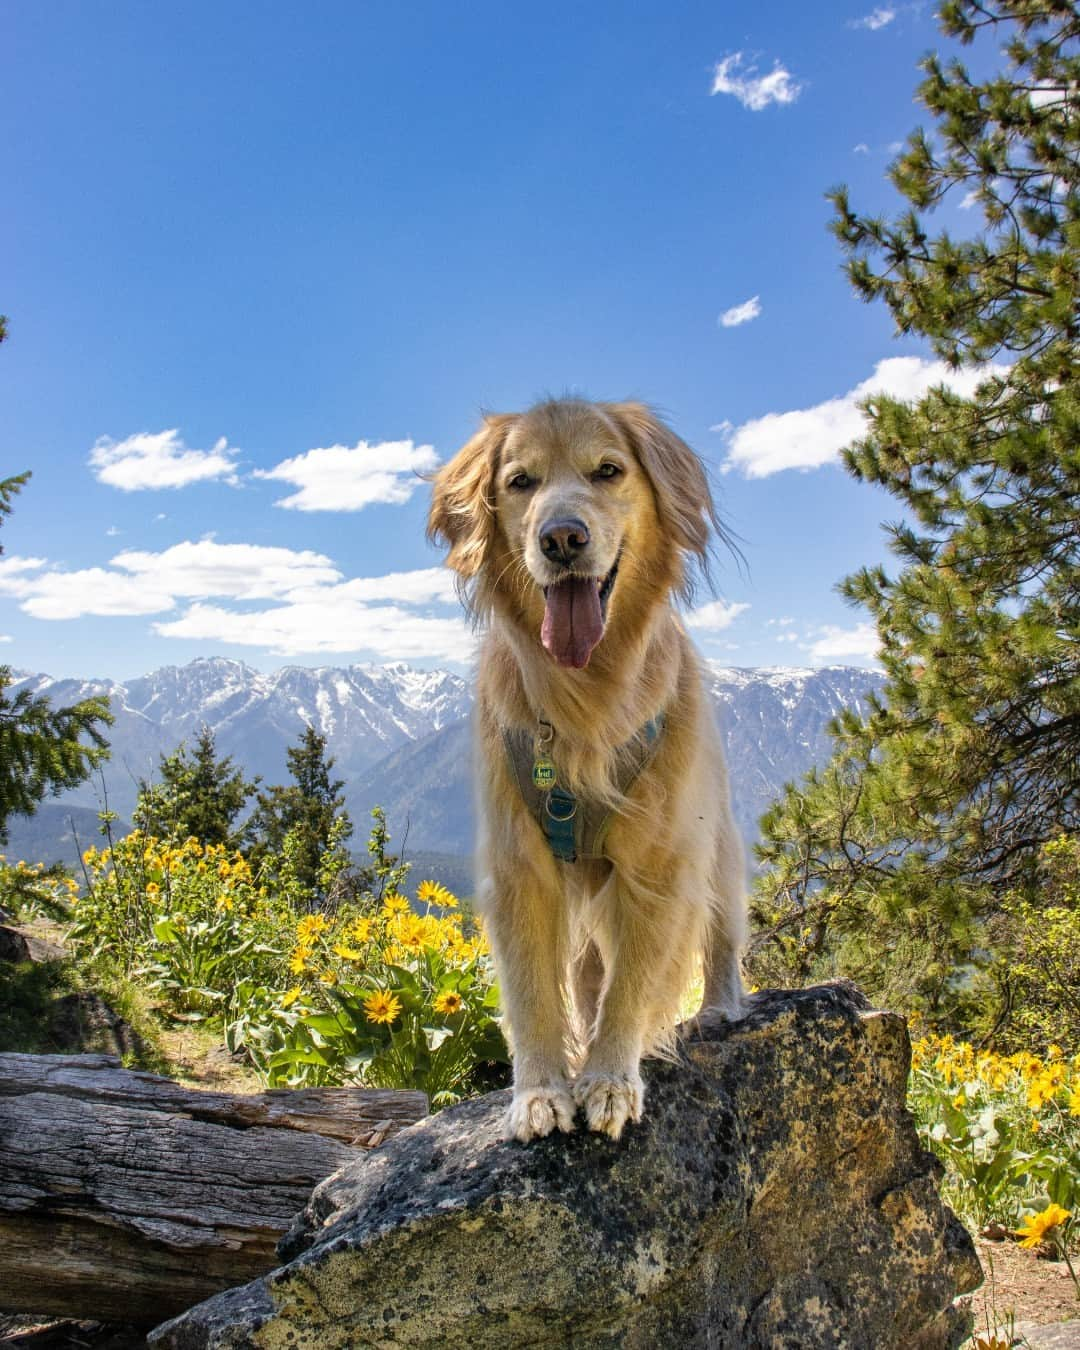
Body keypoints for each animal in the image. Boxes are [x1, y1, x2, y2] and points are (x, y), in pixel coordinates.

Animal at [426, 396, 745, 1139]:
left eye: (609, 471)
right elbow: (534, 991)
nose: (563, 539)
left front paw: (608, 1078)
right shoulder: (519, 862)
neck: (586, 696)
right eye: (520, 482)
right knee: (587, 973)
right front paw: (542, 1089)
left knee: (719, 930)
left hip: (716, 837)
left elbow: (634, 983)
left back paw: (718, 1006)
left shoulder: (661, 864)